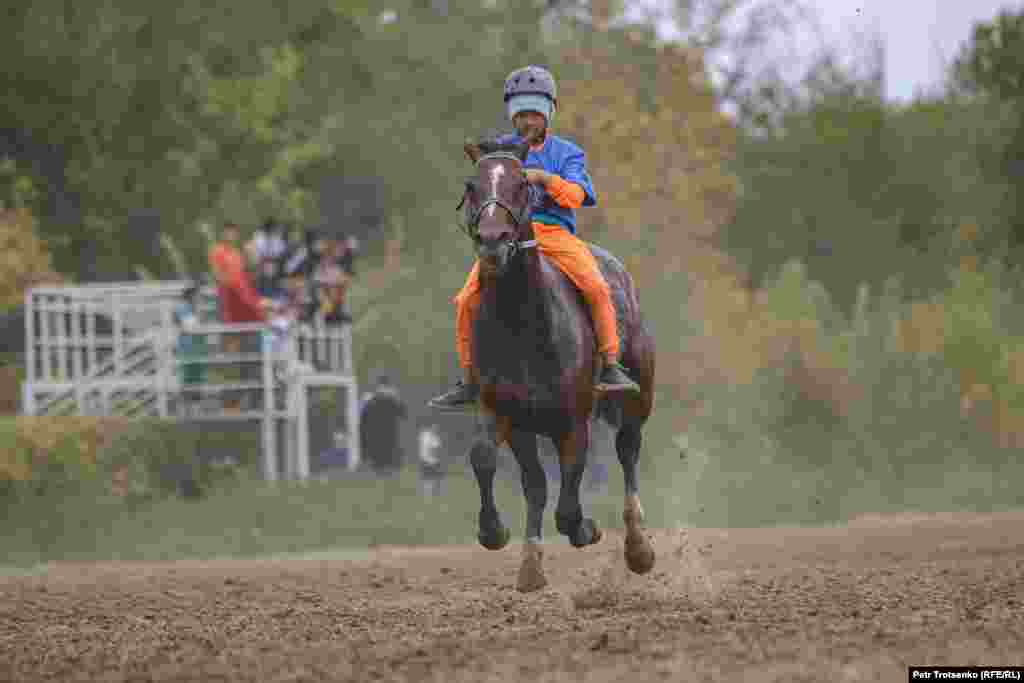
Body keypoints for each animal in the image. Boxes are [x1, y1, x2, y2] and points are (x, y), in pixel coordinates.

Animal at [454, 139, 655, 593]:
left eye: (522, 184)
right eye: (472, 186)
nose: (492, 242)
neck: (523, 323)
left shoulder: (574, 419)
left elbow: (567, 506)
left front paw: (587, 529)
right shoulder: (506, 413)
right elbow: (497, 464)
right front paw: (501, 537)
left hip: (639, 396)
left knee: (628, 449)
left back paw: (638, 547)